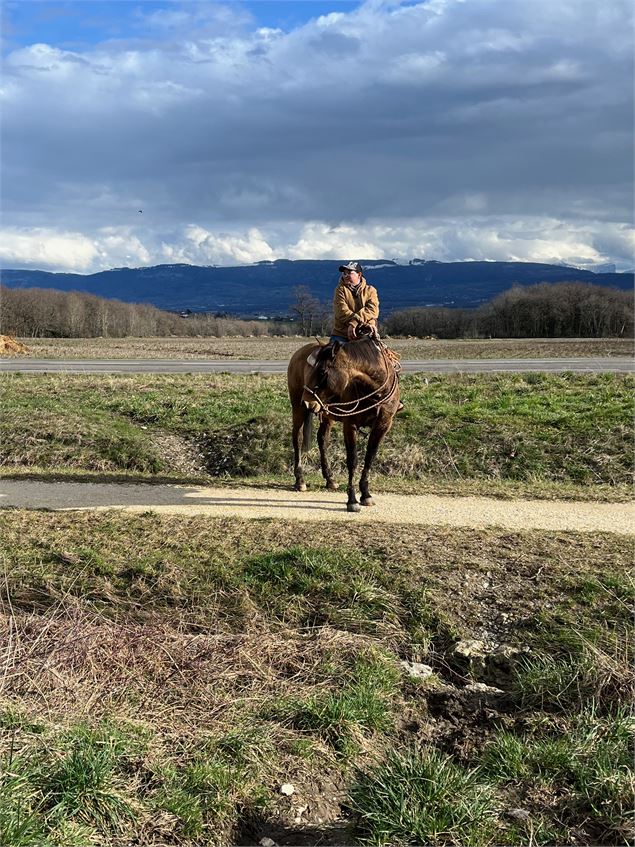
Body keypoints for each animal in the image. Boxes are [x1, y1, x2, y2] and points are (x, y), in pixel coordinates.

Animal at [286, 336, 400, 510]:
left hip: (326, 415)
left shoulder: (383, 425)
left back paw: (330, 479)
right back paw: (300, 480)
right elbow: (352, 460)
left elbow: (370, 457)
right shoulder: (350, 424)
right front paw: (352, 500)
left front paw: (366, 494)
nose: (307, 402)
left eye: (322, 371)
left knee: (322, 439)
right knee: (297, 438)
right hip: (298, 409)